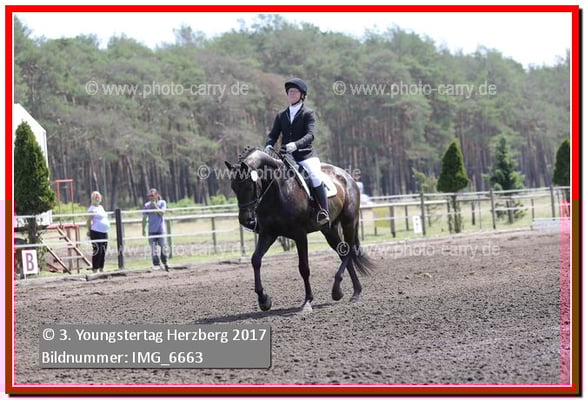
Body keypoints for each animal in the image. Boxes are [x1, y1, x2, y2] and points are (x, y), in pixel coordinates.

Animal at [225, 147, 375, 312]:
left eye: (249, 186)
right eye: (233, 187)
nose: (246, 221)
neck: (277, 188)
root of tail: (347, 177)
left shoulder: (300, 234)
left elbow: (304, 268)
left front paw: (307, 301)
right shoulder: (268, 233)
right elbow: (255, 260)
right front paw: (264, 300)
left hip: (349, 221)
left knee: (348, 251)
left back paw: (337, 290)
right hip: (329, 229)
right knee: (343, 252)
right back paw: (354, 292)